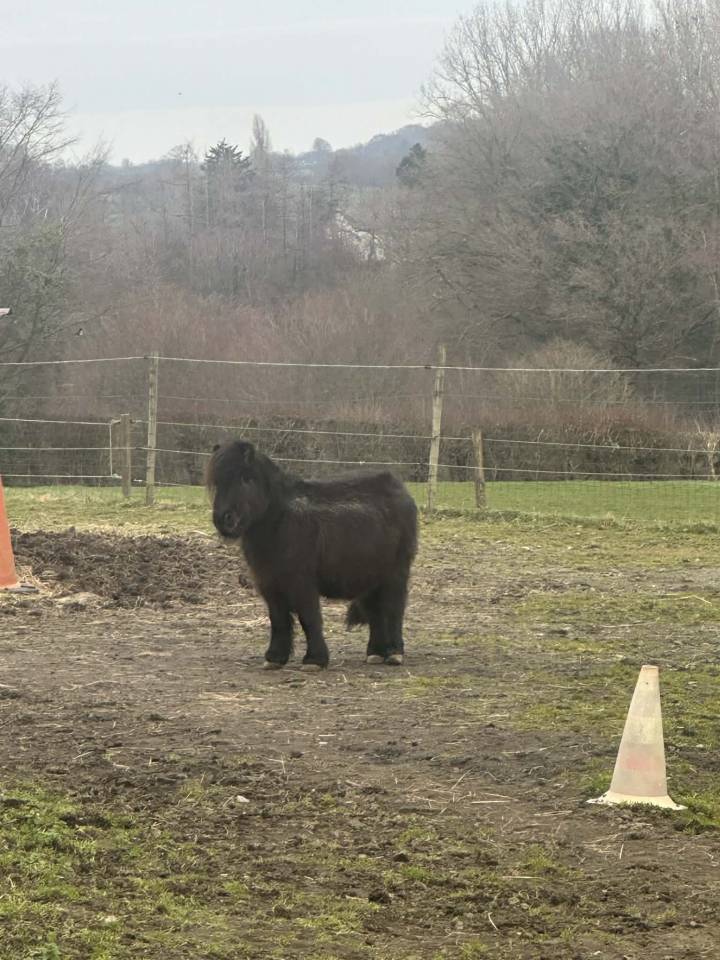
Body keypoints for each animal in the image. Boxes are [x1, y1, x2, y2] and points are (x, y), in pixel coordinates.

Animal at [207, 440, 418, 669]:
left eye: (245, 479)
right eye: (217, 482)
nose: (224, 519)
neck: (279, 520)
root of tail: (400, 489)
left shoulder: (302, 581)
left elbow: (309, 617)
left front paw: (314, 660)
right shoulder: (269, 582)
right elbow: (278, 619)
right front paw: (274, 658)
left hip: (395, 573)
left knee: (393, 609)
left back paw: (394, 653)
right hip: (370, 576)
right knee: (376, 612)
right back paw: (375, 653)